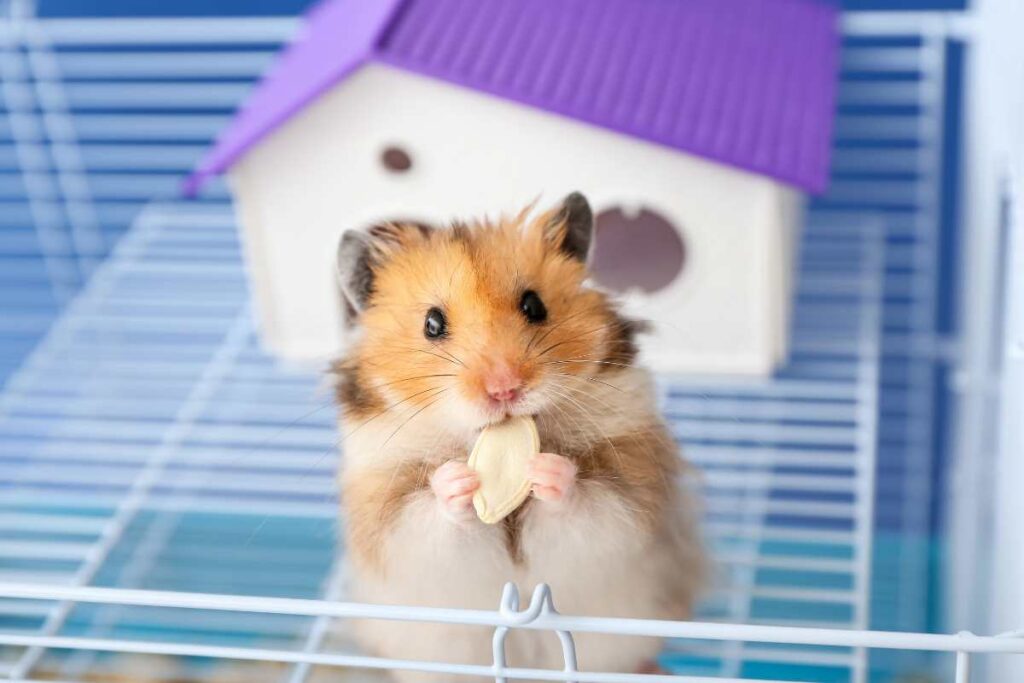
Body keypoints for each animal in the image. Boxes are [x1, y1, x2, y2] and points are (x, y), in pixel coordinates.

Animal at [332, 193, 706, 681]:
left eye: (534, 305)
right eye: (432, 323)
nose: (504, 388)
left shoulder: (631, 495)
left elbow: (591, 507)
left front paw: (548, 470)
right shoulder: (389, 518)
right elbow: (425, 519)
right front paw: (456, 482)